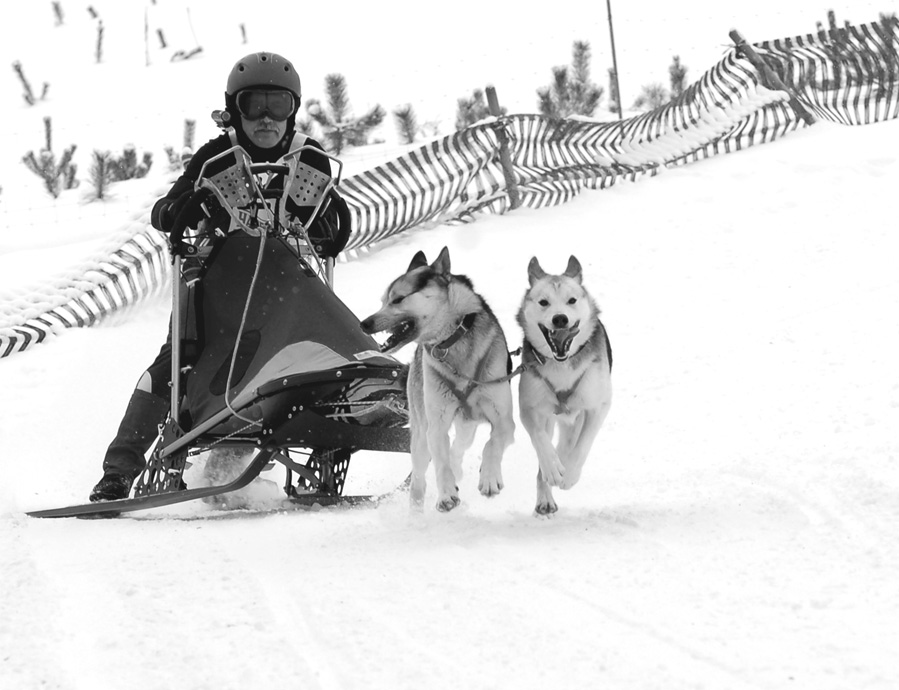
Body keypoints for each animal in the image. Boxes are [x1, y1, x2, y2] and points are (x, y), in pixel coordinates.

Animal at [358, 247, 512, 510]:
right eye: (383, 301)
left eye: (397, 299)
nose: (364, 323)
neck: (450, 341)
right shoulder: (436, 425)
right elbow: (441, 462)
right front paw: (447, 493)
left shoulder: (504, 420)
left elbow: (493, 443)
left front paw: (490, 477)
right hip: (421, 433)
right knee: (419, 478)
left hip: (467, 425)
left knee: (459, 448)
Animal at [516, 255, 616, 512]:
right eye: (543, 302)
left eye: (572, 300)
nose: (560, 318)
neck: (562, 364)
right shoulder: (529, 406)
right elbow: (540, 440)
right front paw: (552, 468)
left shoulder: (597, 406)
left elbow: (583, 445)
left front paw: (569, 475)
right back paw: (546, 494)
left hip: (573, 419)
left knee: (569, 445)